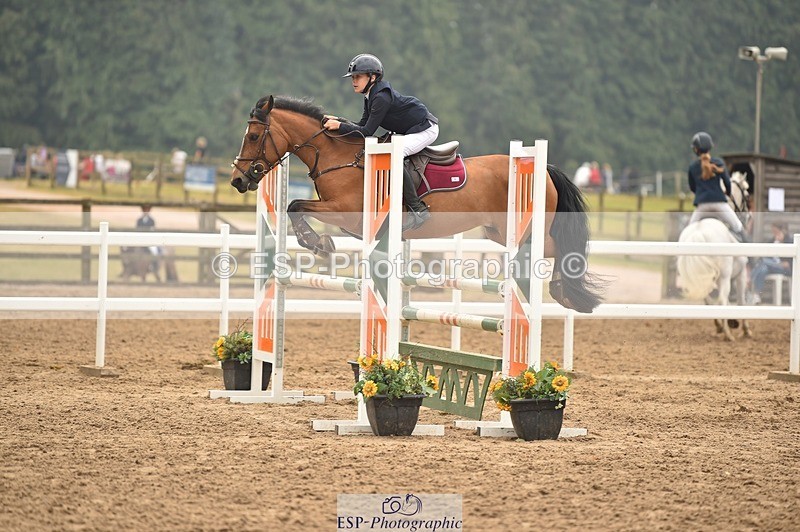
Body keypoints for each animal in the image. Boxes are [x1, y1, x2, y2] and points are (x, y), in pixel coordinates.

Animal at [230, 95, 604, 313]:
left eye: (253, 136)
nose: (237, 181)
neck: (337, 156)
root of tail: (544, 169)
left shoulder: (348, 213)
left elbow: (294, 205)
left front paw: (317, 243)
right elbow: (296, 206)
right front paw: (319, 242)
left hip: (523, 228)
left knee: (557, 249)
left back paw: (560, 289)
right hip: (498, 232)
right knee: (555, 249)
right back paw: (562, 290)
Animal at [676, 171, 752, 341]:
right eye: (746, 193)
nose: (749, 216)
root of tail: (698, 232)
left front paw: (731, 322)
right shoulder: (740, 274)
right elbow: (741, 301)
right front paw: (745, 329)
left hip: (697, 275)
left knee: (708, 299)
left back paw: (720, 326)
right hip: (724, 275)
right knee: (721, 300)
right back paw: (728, 334)